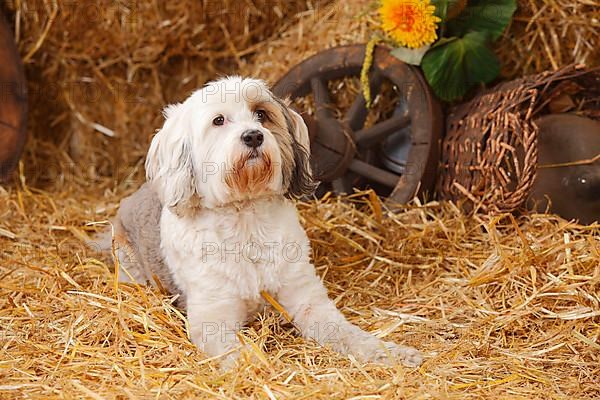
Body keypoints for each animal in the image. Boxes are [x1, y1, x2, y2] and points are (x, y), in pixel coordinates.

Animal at [111, 76, 422, 368]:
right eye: (219, 120)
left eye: (261, 114)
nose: (253, 136)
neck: (246, 220)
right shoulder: (213, 319)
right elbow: (238, 354)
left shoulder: (307, 298)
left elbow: (346, 333)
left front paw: (392, 352)